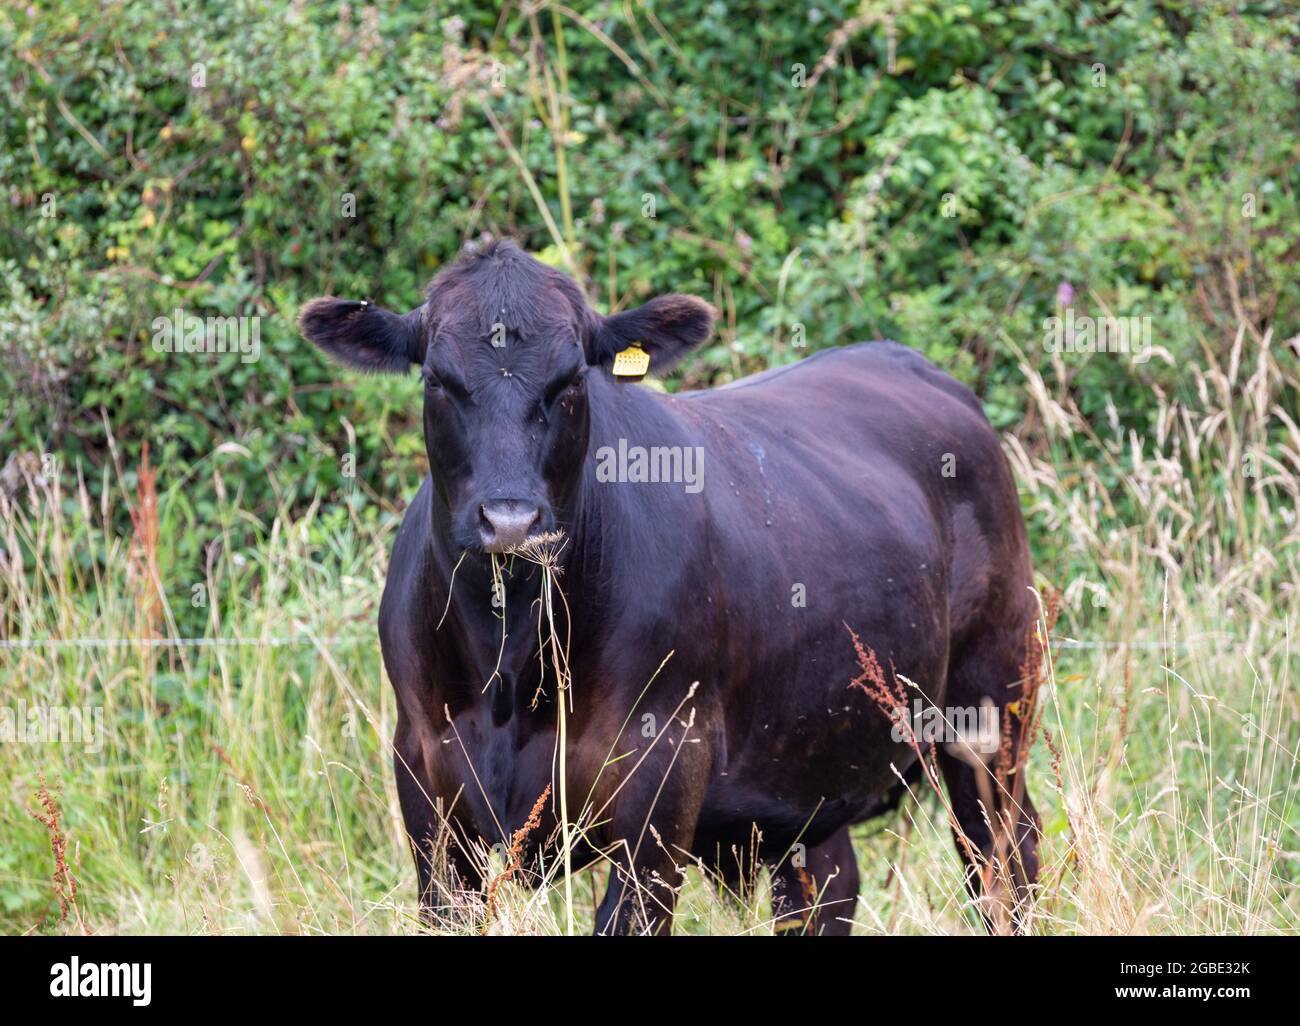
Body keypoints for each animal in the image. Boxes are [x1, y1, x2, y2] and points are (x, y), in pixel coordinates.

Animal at [298, 239, 1041, 935]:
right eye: (438, 382)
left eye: (572, 381)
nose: (510, 520)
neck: (510, 659)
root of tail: (911, 365)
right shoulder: (424, 780)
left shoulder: (661, 781)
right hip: (808, 773)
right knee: (827, 888)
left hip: (990, 709)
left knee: (1006, 860)